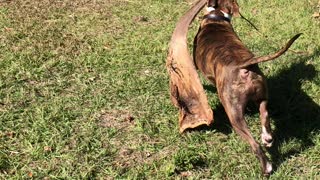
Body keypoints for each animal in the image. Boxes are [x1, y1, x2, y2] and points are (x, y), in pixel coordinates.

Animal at [194, 0, 302, 175]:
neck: (216, 17)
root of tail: (244, 66)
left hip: (234, 114)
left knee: (254, 144)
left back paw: (267, 167)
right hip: (262, 94)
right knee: (264, 115)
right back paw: (267, 138)